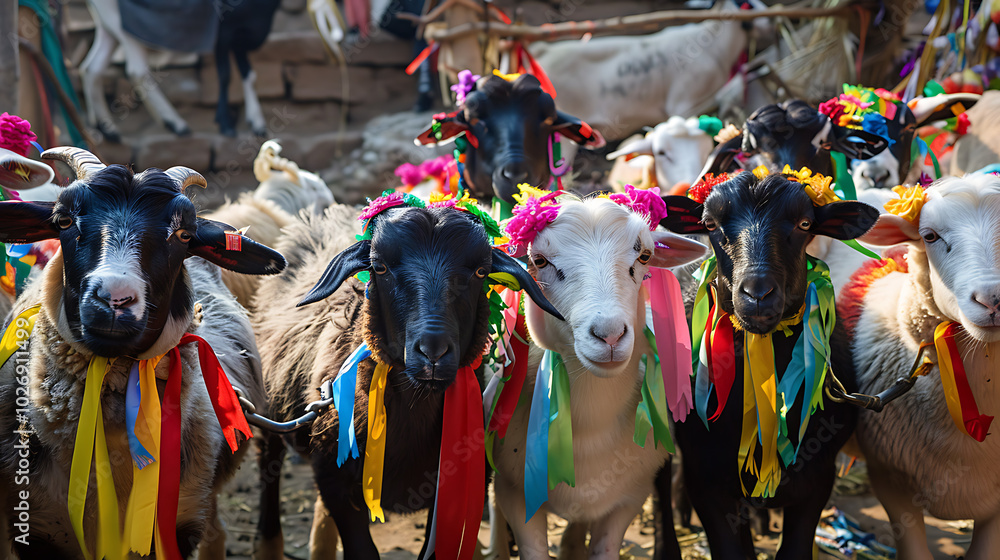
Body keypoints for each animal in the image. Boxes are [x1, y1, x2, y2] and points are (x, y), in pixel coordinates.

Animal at [81, 0, 280, 140]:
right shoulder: (224, 31)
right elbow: (225, 75)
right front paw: (226, 125)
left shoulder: (241, 37)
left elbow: (249, 75)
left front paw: (257, 123)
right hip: (122, 22)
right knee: (136, 70)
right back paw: (176, 123)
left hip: (106, 22)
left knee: (92, 68)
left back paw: (107, 129)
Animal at [491, 191, 708, 559]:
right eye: (539, 261)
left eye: (645, 256)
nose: (609, 336)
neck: (588, 424)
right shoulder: (515, 493)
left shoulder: (628, 499)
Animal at [658, 171, 879, 559]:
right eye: (710, 223)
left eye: (805, 223)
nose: (757, 294)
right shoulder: (709, 478)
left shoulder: (818, 477)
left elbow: (793, 549)